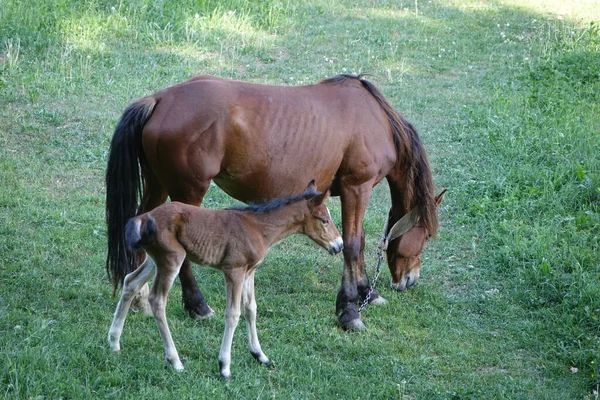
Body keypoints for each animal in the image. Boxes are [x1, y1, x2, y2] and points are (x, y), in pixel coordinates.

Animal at [104, 73, 440, 330]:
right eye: (425, 235)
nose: (410, 279)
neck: (375, 119)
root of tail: (160, 99)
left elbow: (359, 240)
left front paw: (366, 292)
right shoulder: (357, 187)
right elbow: (354, 243)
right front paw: (349, 309)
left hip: (158, 184)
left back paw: (139, 297)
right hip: (187, 193)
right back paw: (197, 305)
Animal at [108, 182, 342, 378]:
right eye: (324, 220)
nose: (339, 245)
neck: (258, 227)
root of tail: (144, 218)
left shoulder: (249, 271)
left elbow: (251, 308)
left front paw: (260, 355)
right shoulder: (234, 270)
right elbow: (233, 314)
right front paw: (224, 366)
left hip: (154, 260)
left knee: (130, 281)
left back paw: (114, 342)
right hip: (171, 259)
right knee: (157, 300)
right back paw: (175, 361)